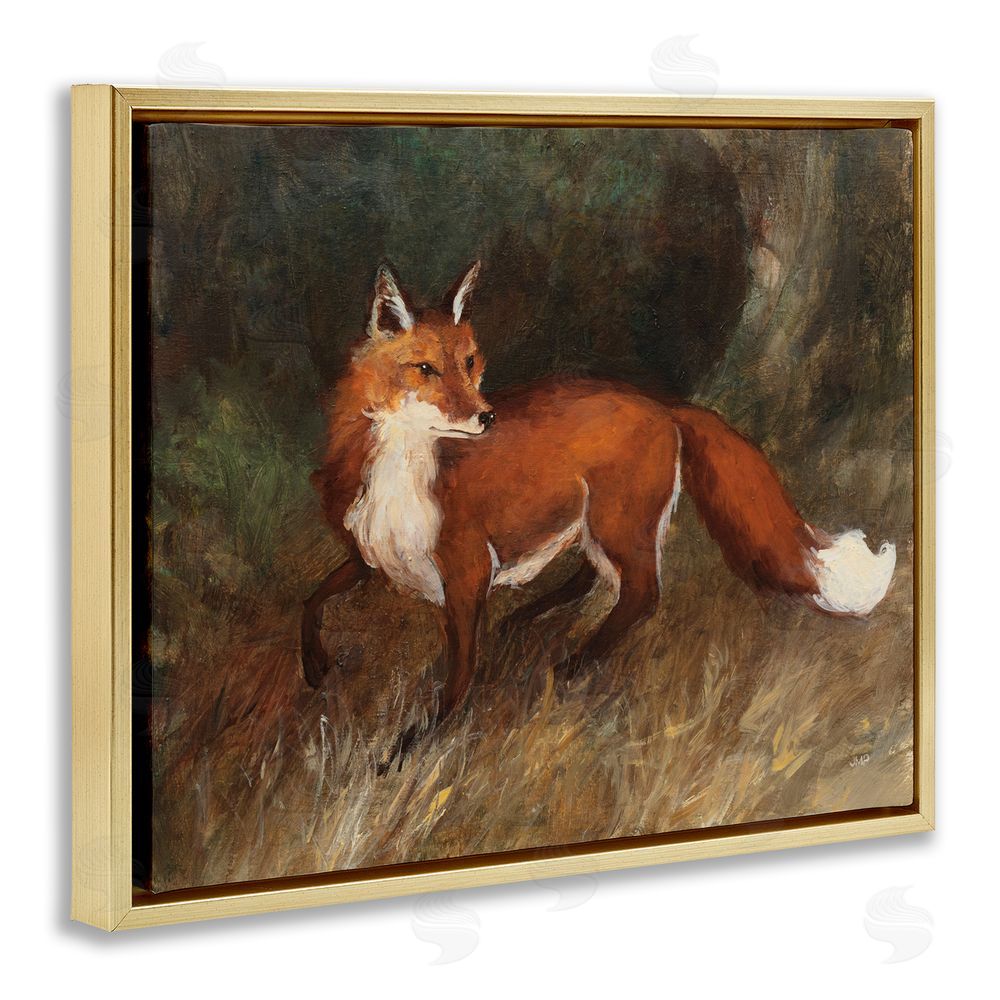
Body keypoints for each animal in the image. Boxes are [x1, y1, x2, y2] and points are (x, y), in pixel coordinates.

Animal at [303, 261, 897, 767]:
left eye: (469, 363)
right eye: (424, 369)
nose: (487, 417)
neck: (403, 474)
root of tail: (663, 404)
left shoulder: (466, 574)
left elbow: (459, 675)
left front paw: (411, 747)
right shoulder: (368, 555)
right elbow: (313, 599)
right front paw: (314, 668)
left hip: (617, 523)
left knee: (641, 594)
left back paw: (572, 664)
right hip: (595, 523)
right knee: (597, 578)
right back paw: (530, 619)